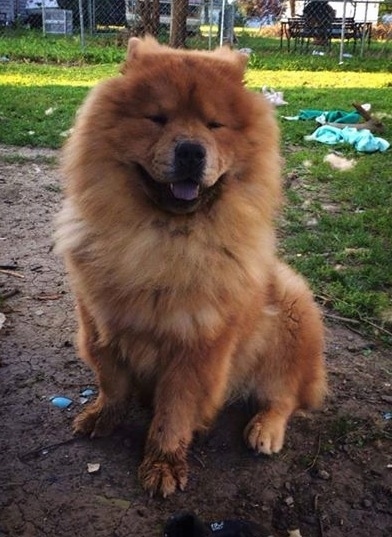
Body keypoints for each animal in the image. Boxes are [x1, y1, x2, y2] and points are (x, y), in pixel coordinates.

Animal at [53, 36, 326, 498]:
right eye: (157, 118)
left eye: (215, 125)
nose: (191, 150)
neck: (164, 239)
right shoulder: (100, 324)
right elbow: (112, 382)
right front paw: (103, 416)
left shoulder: (196, 348)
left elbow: (174, 413)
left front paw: (163, 463)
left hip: (291, 310)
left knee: (284, 396)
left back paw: (265, 429)